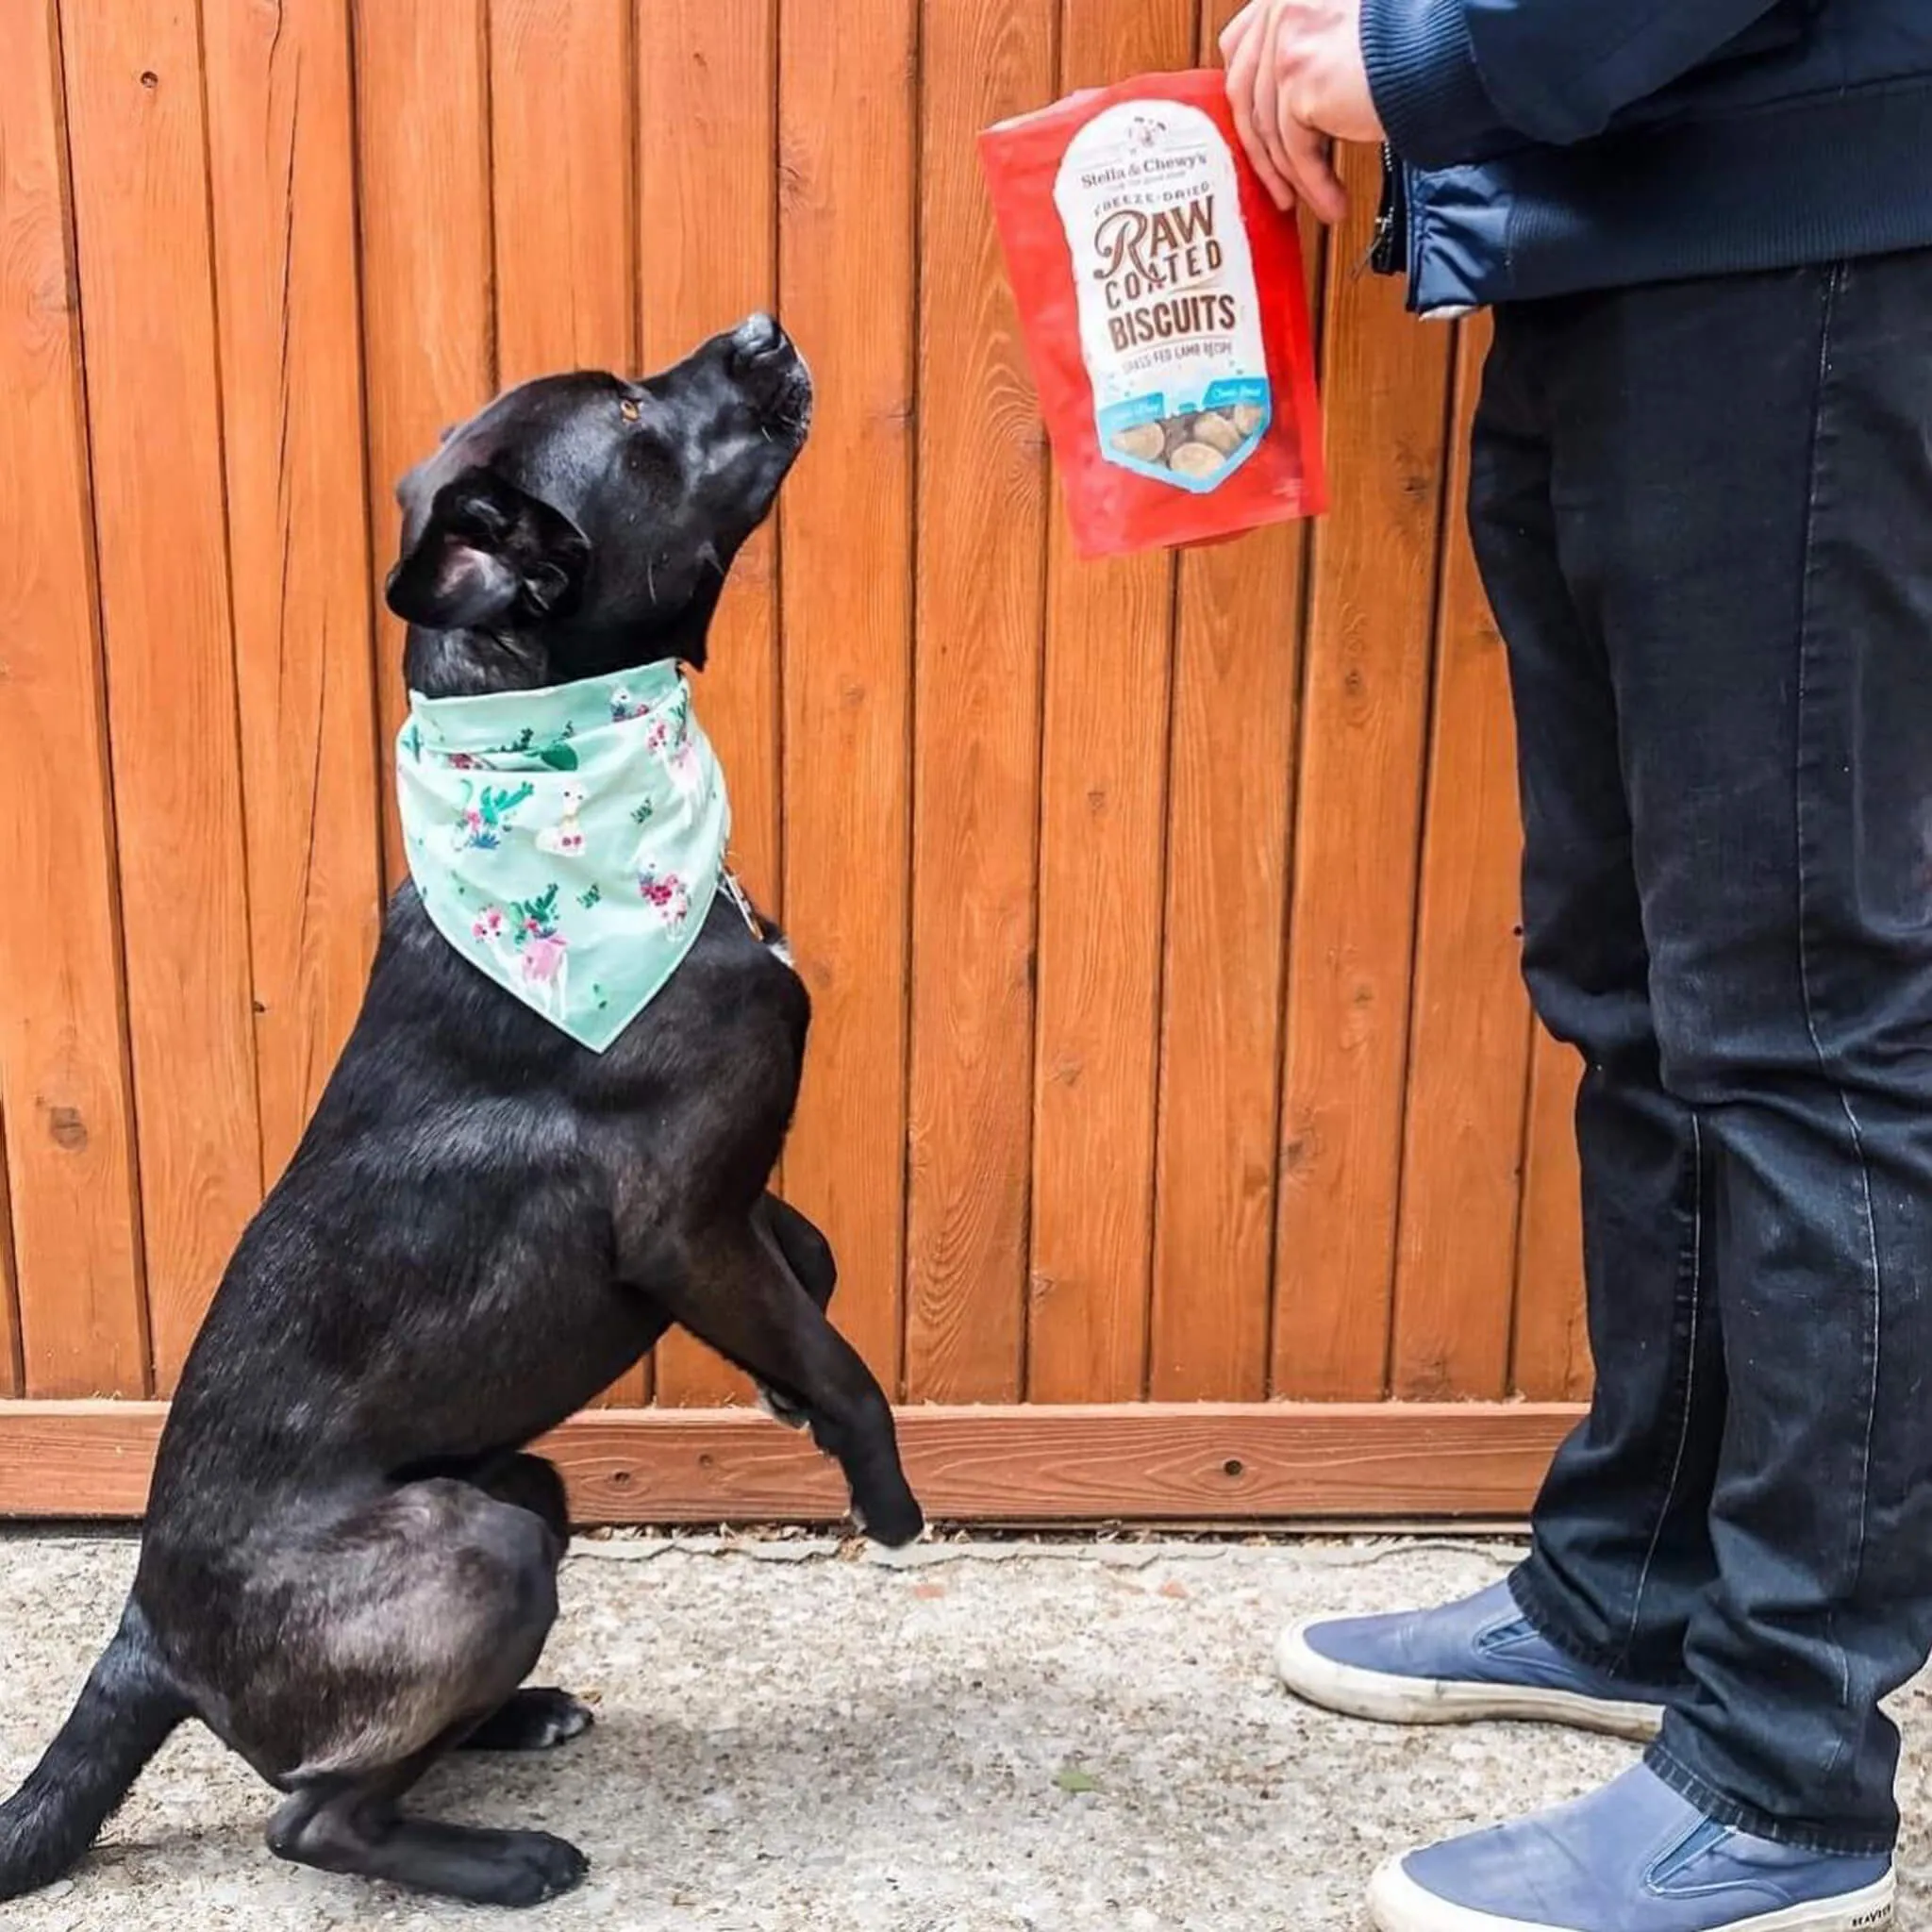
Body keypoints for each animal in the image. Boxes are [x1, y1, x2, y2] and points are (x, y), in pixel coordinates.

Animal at [0, 312, 923, 1901]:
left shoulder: (727, 1213)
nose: (762, 331)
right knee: (310, 1817)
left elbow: (807, 1261)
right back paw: (503, 1858)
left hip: (529, 1485)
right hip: (476, 1548)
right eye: (632, 415)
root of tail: (145, 1639)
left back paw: (519, 1721)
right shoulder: (681, 1222)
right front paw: (880, 1489)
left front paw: (786, 1370)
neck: (559, 773)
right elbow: (842, 1355)